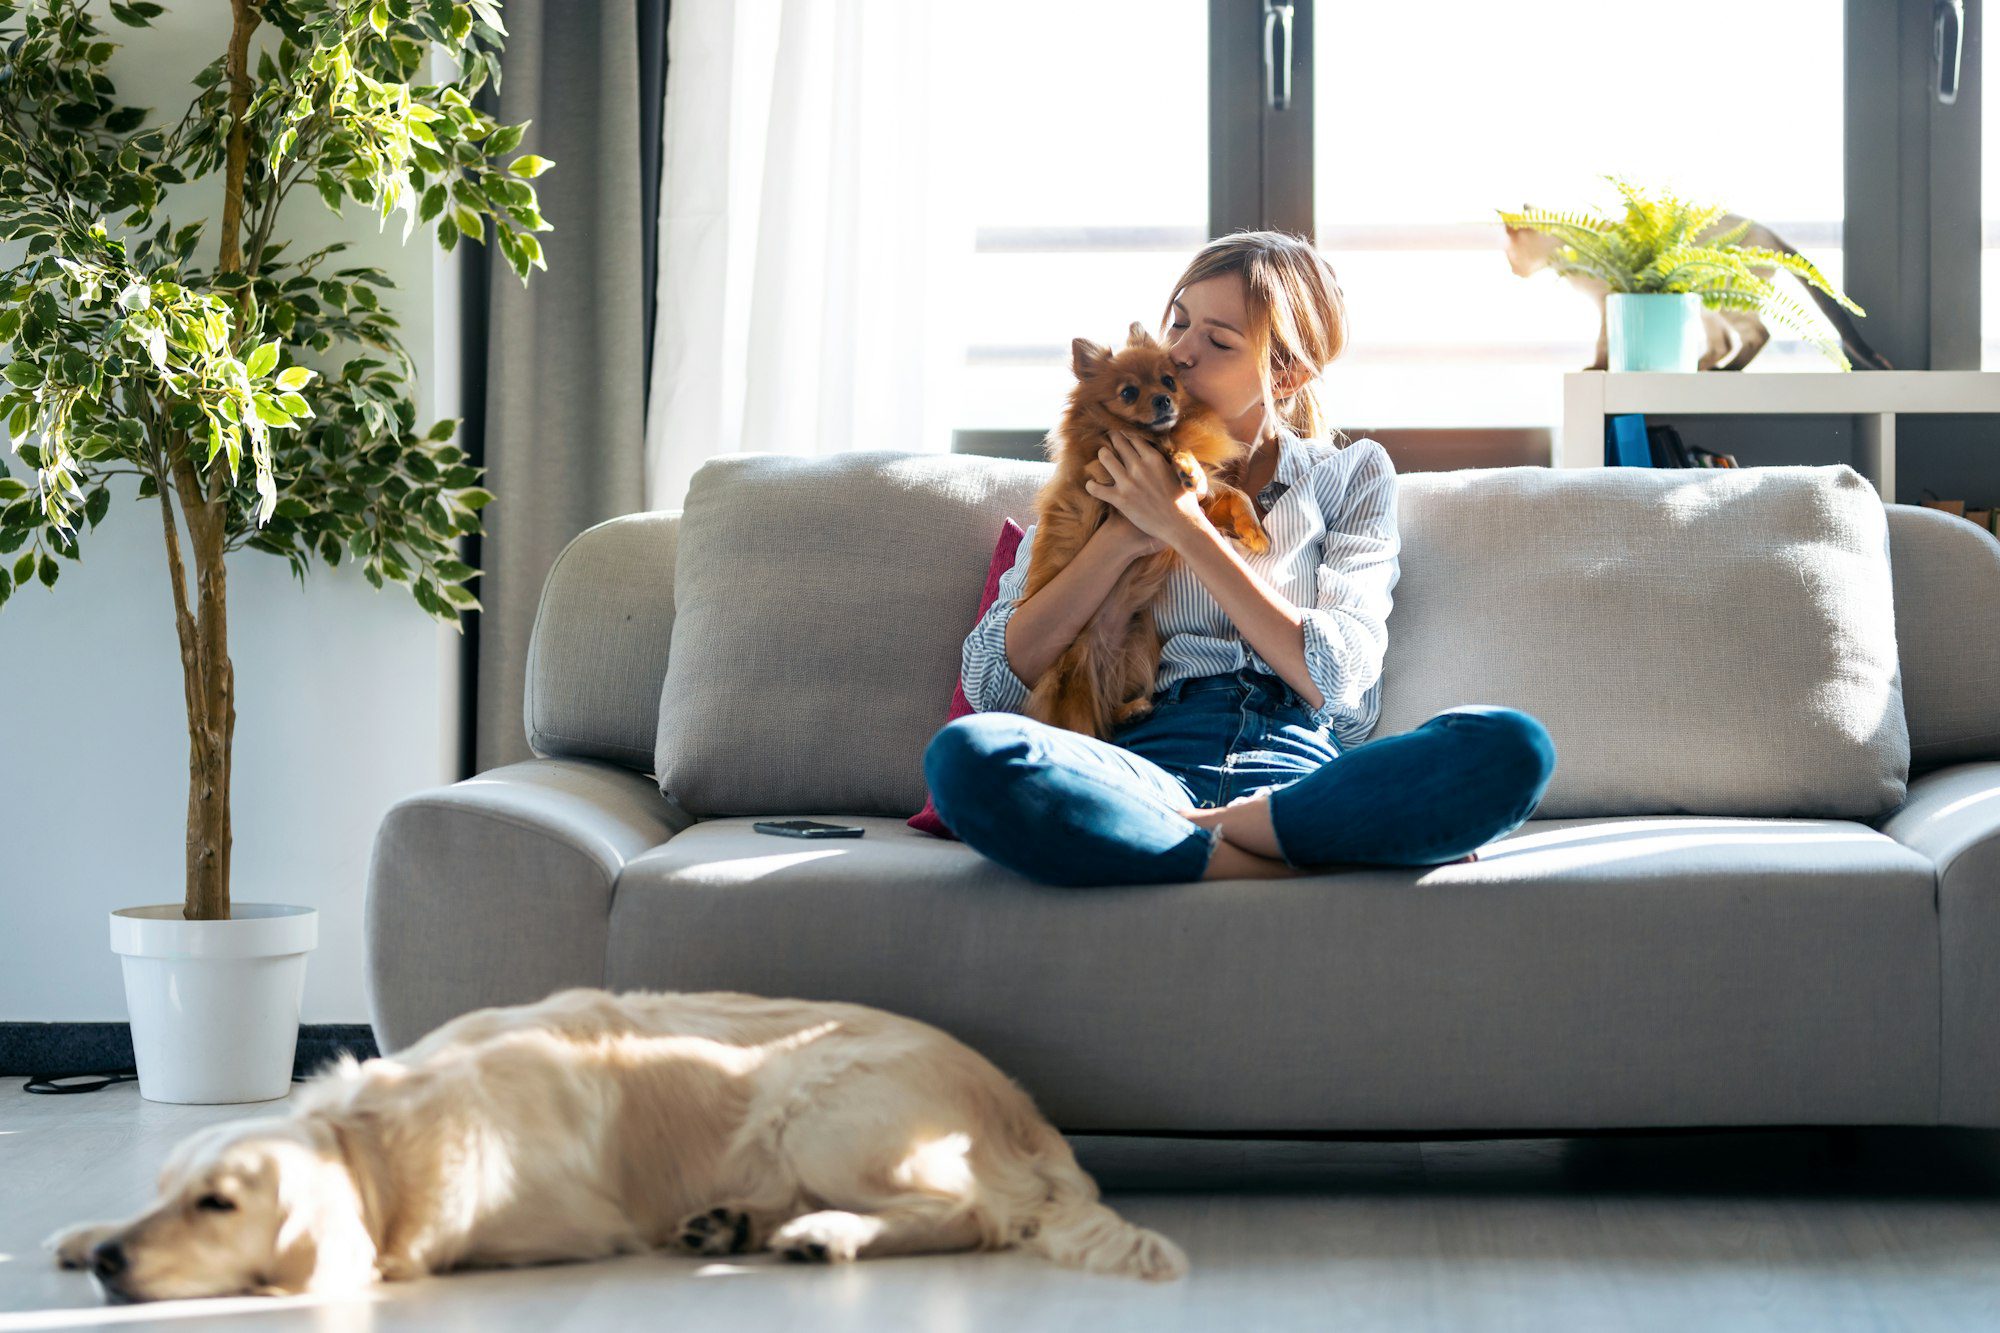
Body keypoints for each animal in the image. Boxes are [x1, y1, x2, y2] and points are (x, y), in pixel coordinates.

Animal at [1024, 320, 1272, 736]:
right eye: (1128, 392)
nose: (1163, 400)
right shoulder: (1100, 472)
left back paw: (1131, 710)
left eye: (1169, 381)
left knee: (1107, 709)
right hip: (1071, 668)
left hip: (1140, 643)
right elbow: (1169, 455)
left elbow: (1234, 493)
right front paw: (1183, 463)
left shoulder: (1204, 496)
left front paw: (1253, 533)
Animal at [1504, 210, 1896, 370]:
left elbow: (1603, 345)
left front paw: (1597, 367)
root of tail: (1771, 235)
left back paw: (1726, 371)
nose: (1513, 272)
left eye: (1510, 256)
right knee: (1723, 343)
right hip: (1707, 304)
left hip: (1724, 300)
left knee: (1757, 335)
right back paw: (1702, 366)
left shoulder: (1606, 300)